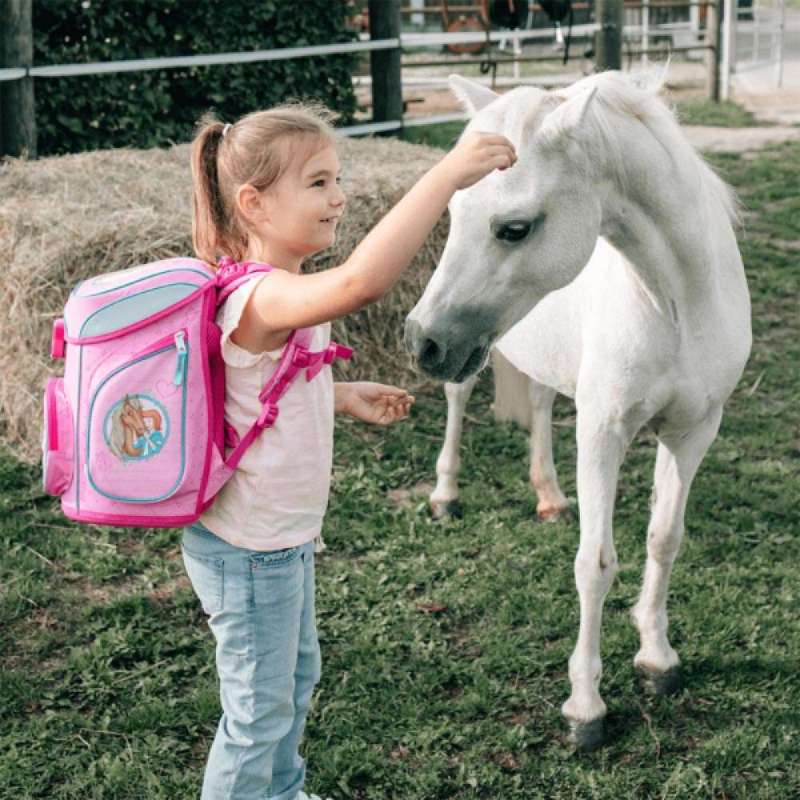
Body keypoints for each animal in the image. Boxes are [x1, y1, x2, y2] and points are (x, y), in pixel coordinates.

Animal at [404, 70, 752, 750]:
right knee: (458, 401)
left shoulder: (695, 430)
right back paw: (445, 494)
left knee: (539, 403)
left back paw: (549, 496)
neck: (680, 303)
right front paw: (585, 708)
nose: (421, 342)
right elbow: (595, 564)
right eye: (452, 211)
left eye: (514, 228)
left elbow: (664, 538)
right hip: (472, 357)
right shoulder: (602, 432)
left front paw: (657, 658)